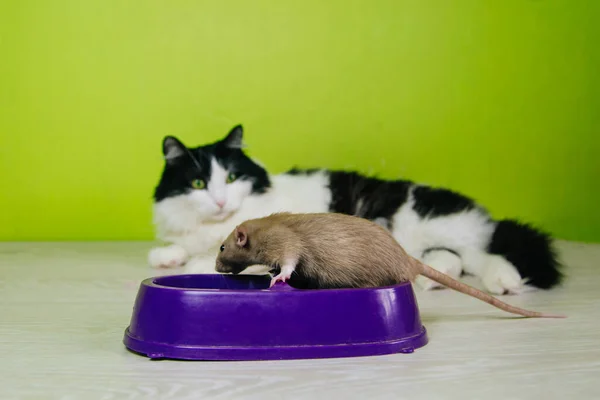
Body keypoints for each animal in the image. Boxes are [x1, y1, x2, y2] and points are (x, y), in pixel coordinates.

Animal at [149, 124, 564, 294]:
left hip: (429, 223)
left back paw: (505, 282)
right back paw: (432, 279)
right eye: (199, 184)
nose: (220, 201)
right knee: (452, 261)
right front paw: (165, 256)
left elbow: (204, 257)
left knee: (484, 254)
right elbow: (179, 246)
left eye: (232, 177)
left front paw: (192, 262)